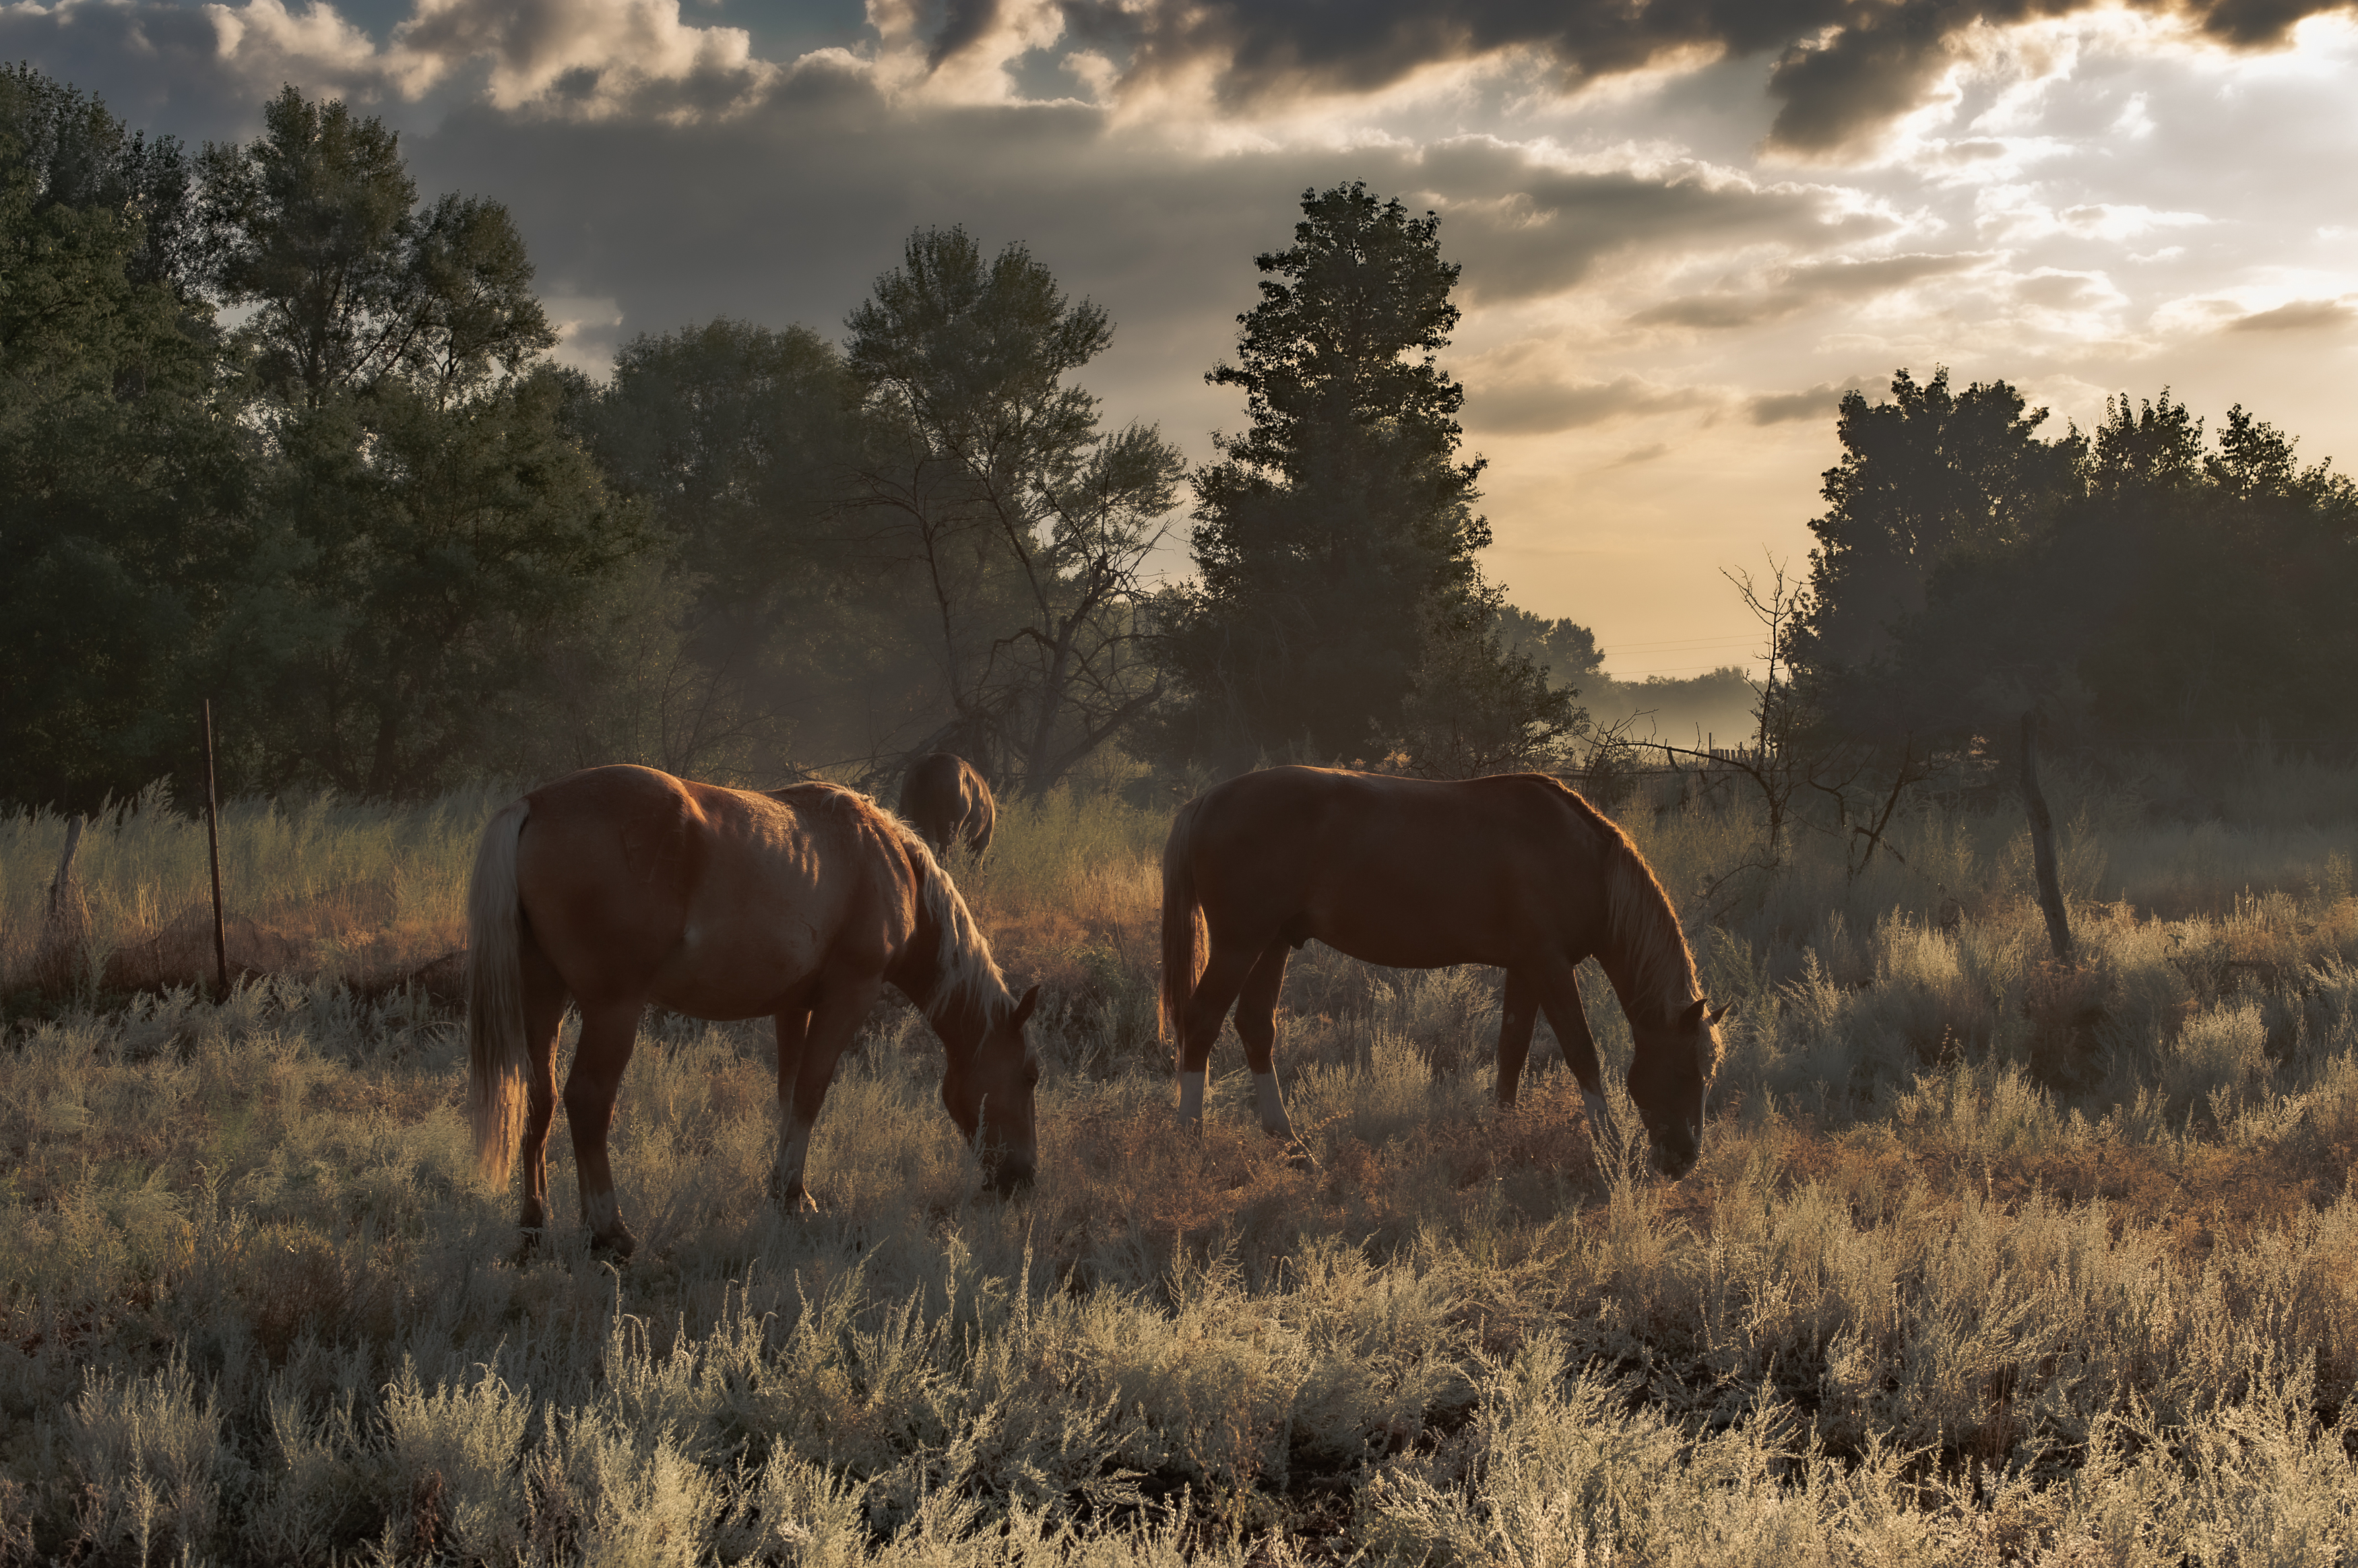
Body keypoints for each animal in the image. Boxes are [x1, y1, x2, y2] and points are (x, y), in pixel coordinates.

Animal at [464, 764, 1038, 1254]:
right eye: (1030, 1075)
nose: (1025, 1179)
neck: (887, 862)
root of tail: (535, 804)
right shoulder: (849, 996)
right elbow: (811, 1094)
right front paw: (793, 1197)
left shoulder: (794, 1008)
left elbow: (789, 1095)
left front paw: (788, 1193)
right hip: (612, 1011)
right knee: (587, 1102)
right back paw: (610, 1232)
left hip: (544, 999)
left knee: (539, 1100)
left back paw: (534, 1224)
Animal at [1160, 764, 1735, 1179]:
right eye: (1687, 1073)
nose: (1684, 1161)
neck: (1578, 859)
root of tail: (1205, 800)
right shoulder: (1549, 966)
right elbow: (1581, 1052)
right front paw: (1612, 1148)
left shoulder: (1526, 968)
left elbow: (1511, 1052)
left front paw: (1500, 1138)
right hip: (1240, 944)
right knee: (1202, 1021)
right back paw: (1189, 1142)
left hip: (1274, 942)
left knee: (1256, 1027)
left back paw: (1293, 1147)